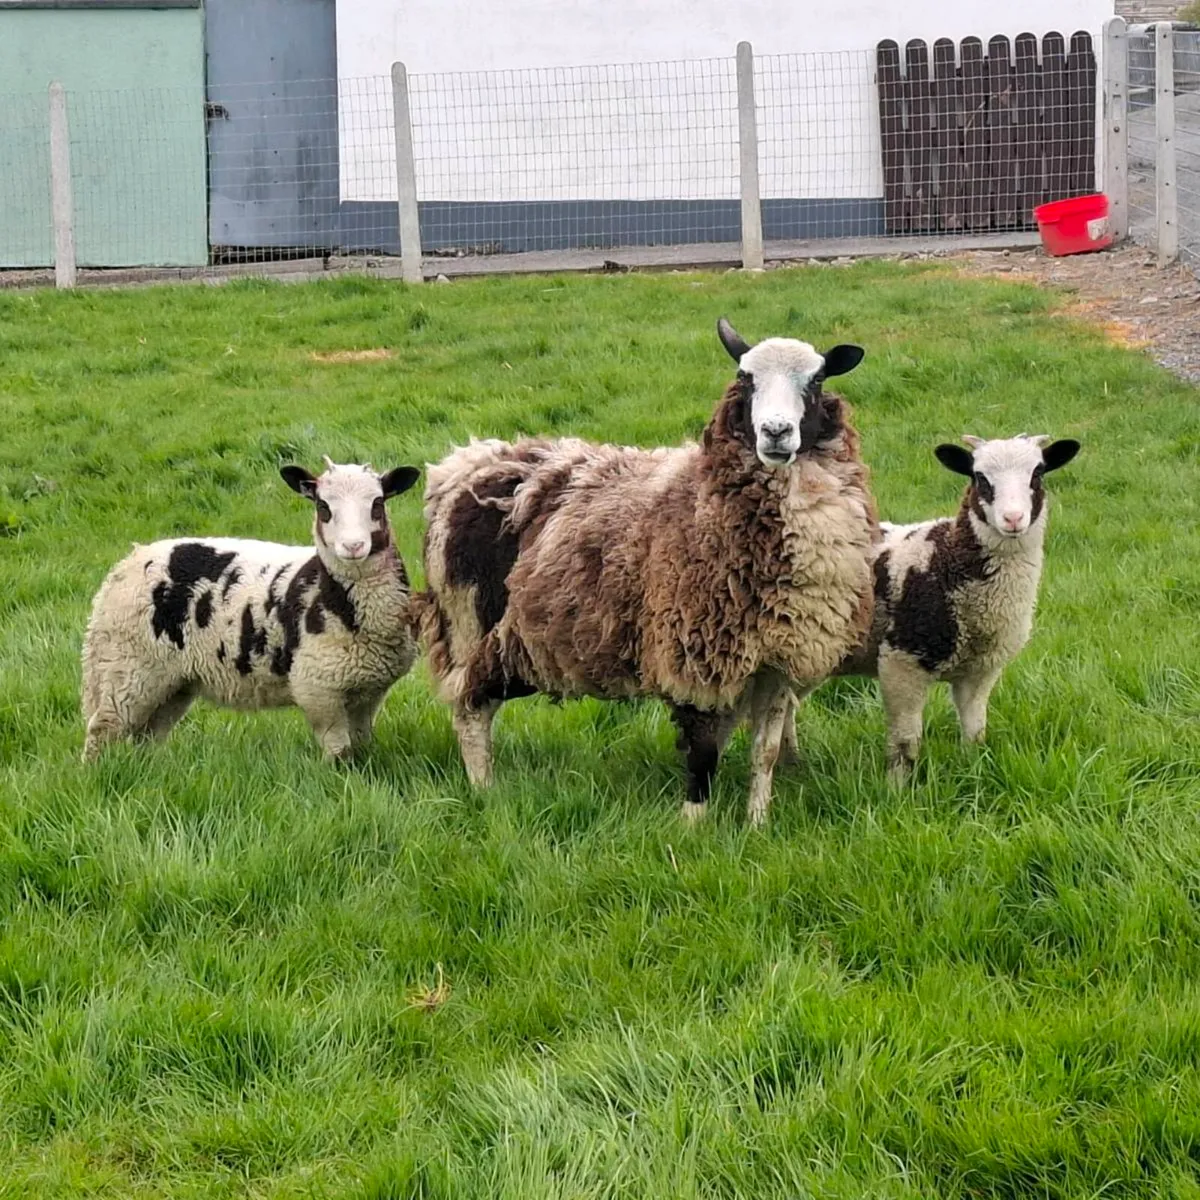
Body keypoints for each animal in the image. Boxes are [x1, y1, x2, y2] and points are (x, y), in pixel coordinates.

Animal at [81, 457, 421, 762]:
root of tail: (124, 567)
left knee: (148, 735)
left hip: (172, 681)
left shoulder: (368, 691)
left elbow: (361, 744)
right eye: (323, 507)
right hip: (126, 667)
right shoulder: (318, 690)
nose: (353, 547)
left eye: (378, 503)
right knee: (103, 730)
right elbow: (340, 752)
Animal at [415, 317, 880, 826]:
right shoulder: (692, 654)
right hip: (475, 628)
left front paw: (757, 823)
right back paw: (485, 790)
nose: (776, 432)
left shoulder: (779, 663)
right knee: (470, 707)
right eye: (745, 378)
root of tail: (463, 465)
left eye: (816, 381)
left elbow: (766, 753)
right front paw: (693, 826)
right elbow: (703, 752)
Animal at [777, 432, 1081, 779]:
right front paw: (896, 788)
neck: (947, 559)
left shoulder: (980, 671)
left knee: (785, 705)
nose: (1013, 519)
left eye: (1037, 474)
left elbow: (975, 734)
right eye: (980, 478)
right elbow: (905, 744)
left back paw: (791, 765)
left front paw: (972, 773)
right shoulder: (902, 661)